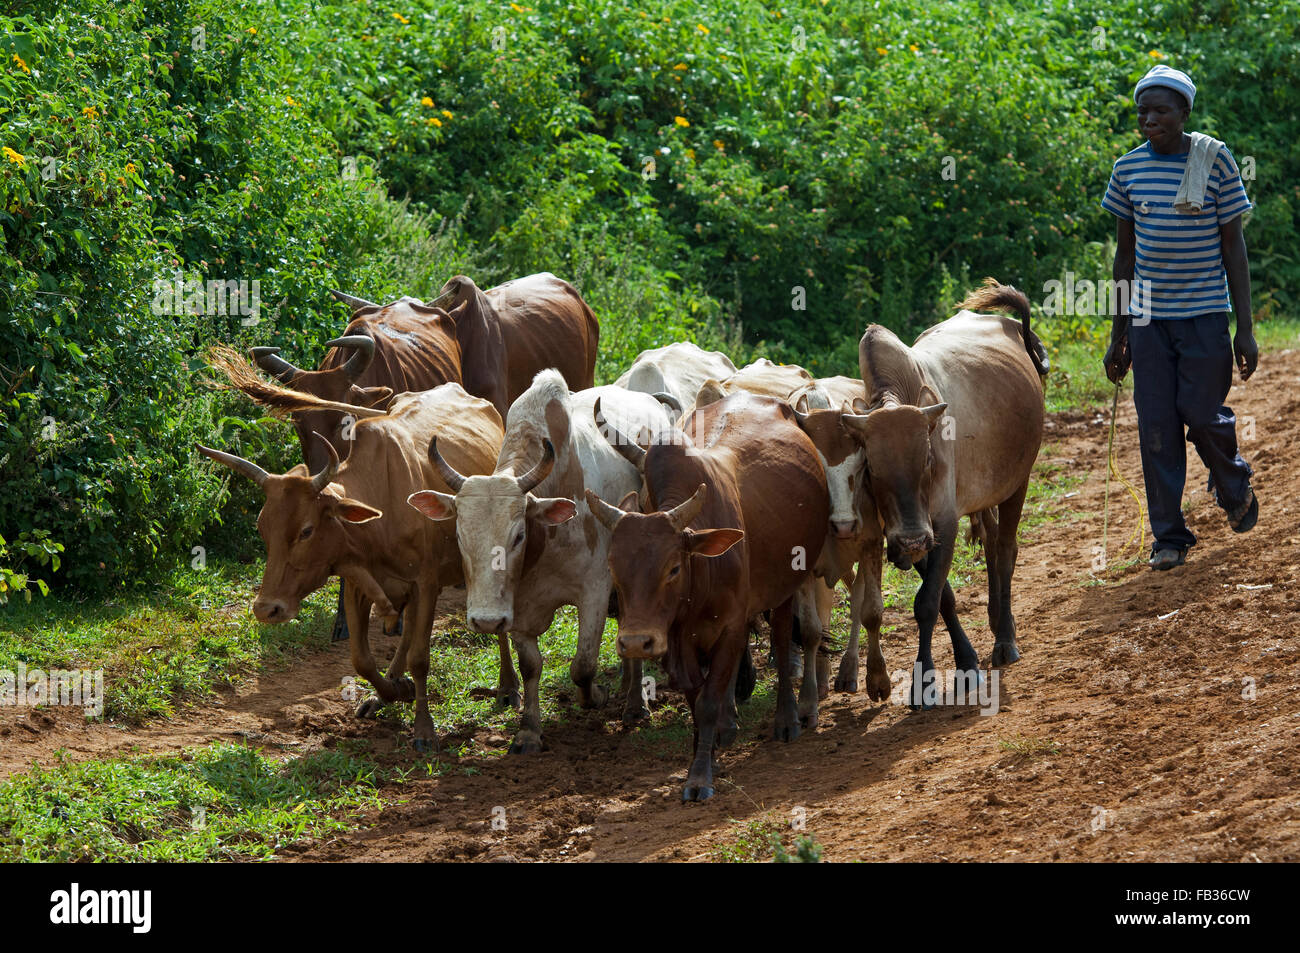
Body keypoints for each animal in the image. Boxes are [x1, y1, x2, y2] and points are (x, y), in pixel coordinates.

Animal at [587, 390, 821, 800]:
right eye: (614, 568)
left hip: (785, 588)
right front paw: (704, 754)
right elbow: (697, 701)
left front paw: (700, 777)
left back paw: (787, 719)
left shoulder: (730, 628)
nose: (635, 642)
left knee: (780, 639)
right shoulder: (675, 643)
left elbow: (710, 700)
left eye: (673, 568)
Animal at [842, 278, 1045, 702]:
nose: (912, 539)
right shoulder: (909, 533)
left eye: (928, 459)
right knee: (990, 540)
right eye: (872, 468)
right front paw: (964, 659)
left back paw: (1005, 639)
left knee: (1006, 551)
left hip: (1017, 481)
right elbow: (943, 597)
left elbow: (927, 602)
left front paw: (926, 681)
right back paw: (996, 619)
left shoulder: (942, 523)